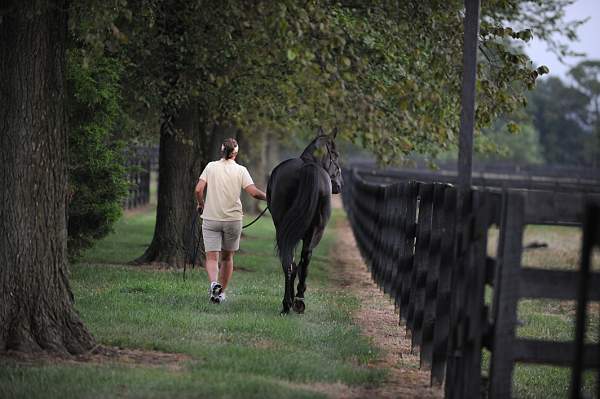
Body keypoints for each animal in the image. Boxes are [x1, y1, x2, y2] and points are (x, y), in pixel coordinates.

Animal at [268, 128, 342, 316]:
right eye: (336, 155)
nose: (339, 185)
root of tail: (307, 168)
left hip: (285, 230)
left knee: (290, 263)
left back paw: (289, 303)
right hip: (315, 231)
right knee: (303, 260)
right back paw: (296, 301)